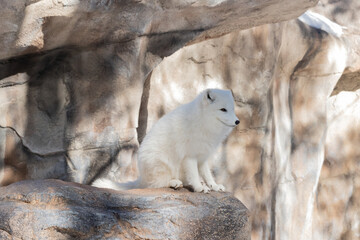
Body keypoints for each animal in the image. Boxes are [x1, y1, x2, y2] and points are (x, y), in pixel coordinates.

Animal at [93, 89, 239, 192]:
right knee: (155, 184)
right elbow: (194, 174)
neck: (204, 121)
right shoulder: (190, 156)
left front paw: (214, 186)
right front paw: (199, 188)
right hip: (161, 164)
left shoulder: (203, 157)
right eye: (223, 109)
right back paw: (174, 183)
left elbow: (207, 175)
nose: (237, 121)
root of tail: (142, 178)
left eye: (232, 109)